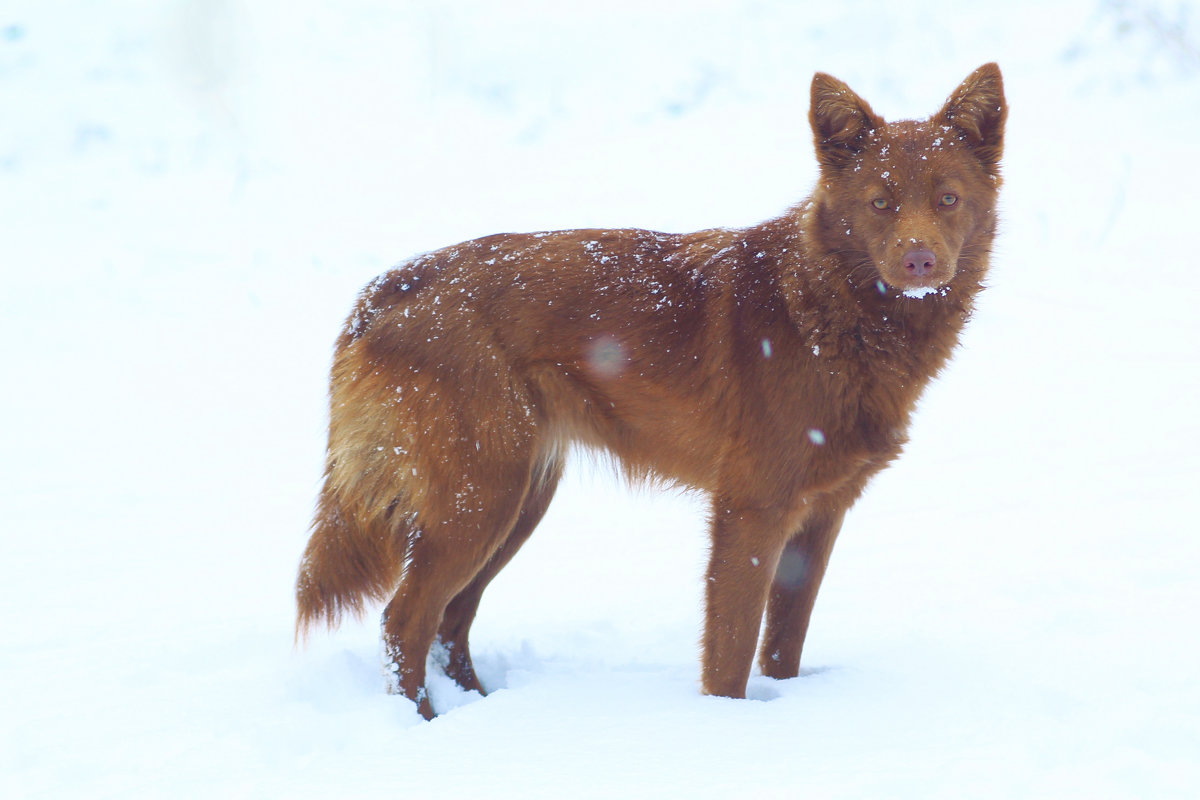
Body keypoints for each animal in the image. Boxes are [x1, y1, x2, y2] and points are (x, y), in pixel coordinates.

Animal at [297, 65, 1003, 724]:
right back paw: (426, 727)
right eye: (881, 204)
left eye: (947, 198)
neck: (829, 312)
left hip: (519, 501)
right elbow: (730, 660)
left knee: (451, 620)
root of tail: (389, 288)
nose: (919, 263)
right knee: (405, 621)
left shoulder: (820, 518)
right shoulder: (751, 513)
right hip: (480, 502)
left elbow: (783, 651)